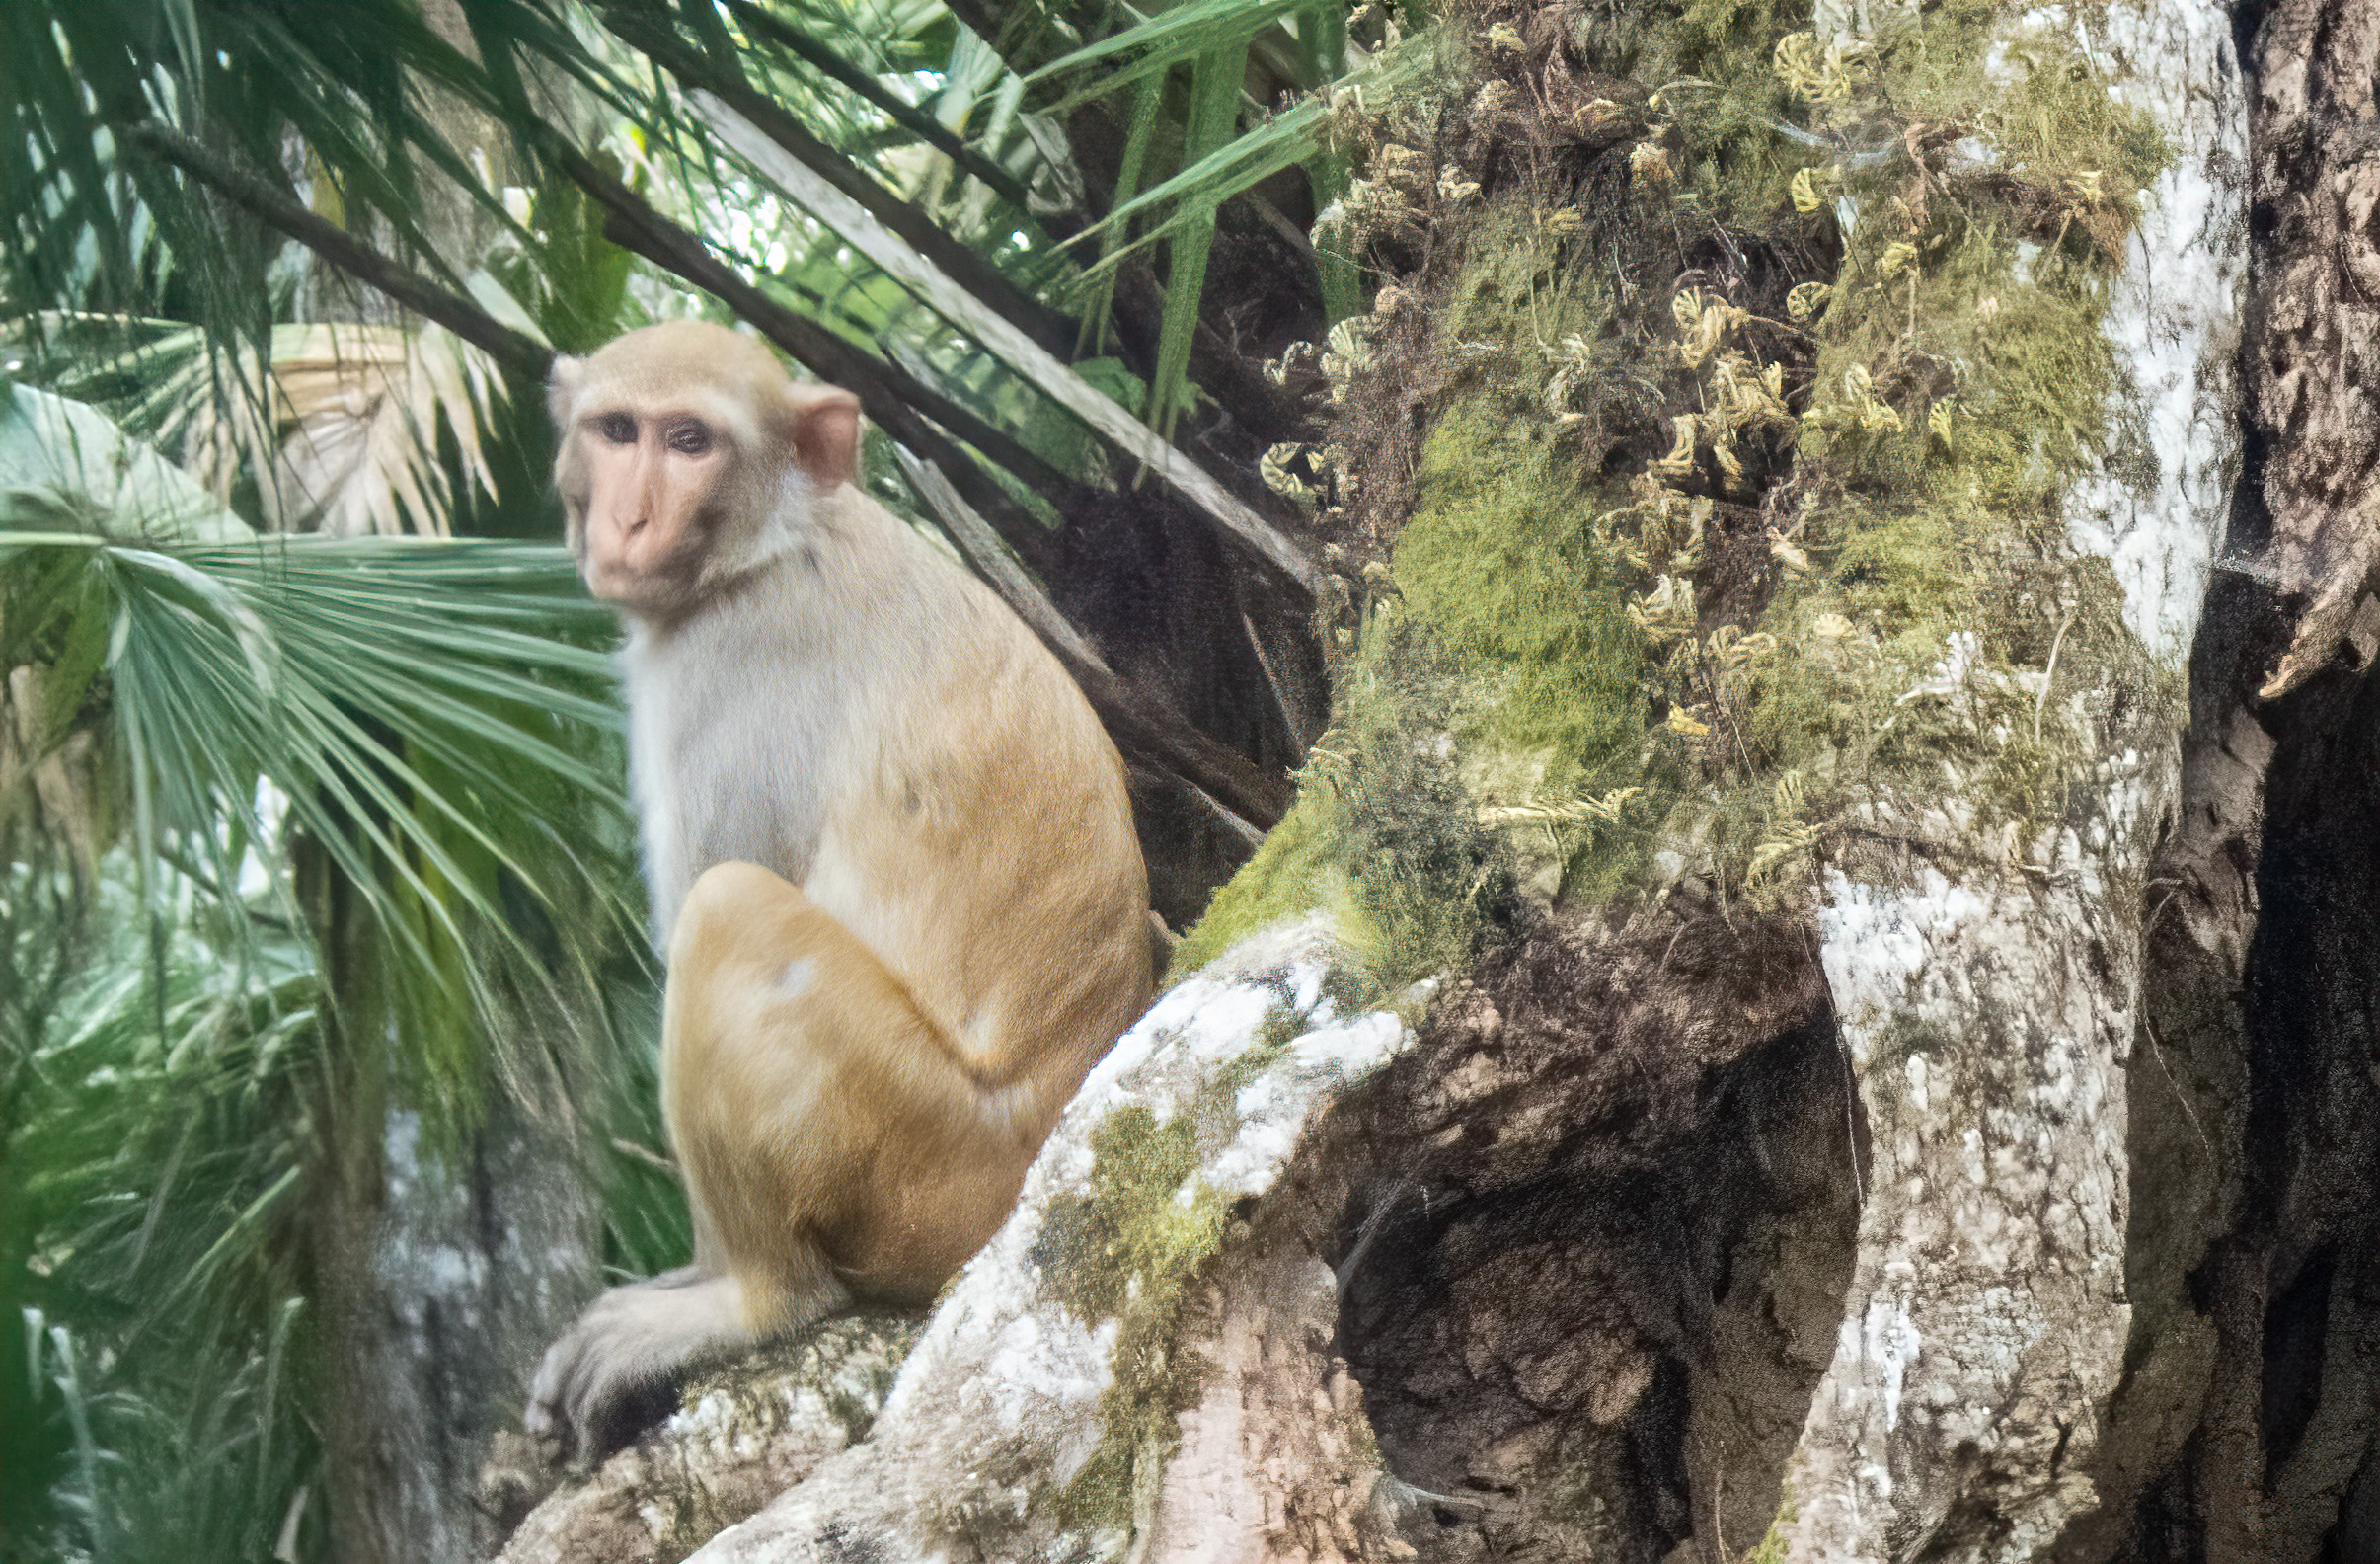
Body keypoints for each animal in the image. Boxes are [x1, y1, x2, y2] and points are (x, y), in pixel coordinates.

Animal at [525, 320, 1154, 1460]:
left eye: (690, 441)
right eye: (617, 430)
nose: (629, 519)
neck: (770, 543)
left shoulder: (723, 674)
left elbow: (711, 887)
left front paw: (702, 1282)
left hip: (922, 1168)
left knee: (727, 910)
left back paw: (755, 1300)